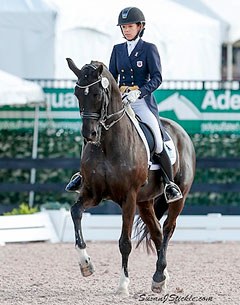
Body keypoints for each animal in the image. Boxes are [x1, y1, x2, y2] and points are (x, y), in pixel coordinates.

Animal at [66, 57, 196, 294]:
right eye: (77, 93)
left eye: (97, 94)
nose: (89, 134)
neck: (106, 144)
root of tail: (181, 132)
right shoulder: (93, 193)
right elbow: (76, 212)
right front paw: (86, 264)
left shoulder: (128, 197)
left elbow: (124, 242)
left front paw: (123, 285)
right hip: (144, 202)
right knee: (157, 233)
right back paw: (161, 277)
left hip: (177, 198)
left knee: (168, 229)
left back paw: (158, 275)